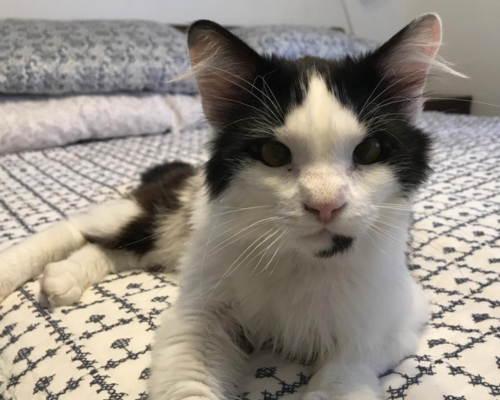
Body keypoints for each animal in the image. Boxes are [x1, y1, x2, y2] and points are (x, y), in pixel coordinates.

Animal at [0, 12, 458, 400]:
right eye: (273, 154)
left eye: (369, 151)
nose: (325, 206)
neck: (301, 261)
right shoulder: (197, 314)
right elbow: (189, 374)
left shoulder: (395, 312)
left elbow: (349, 366)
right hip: (161, 213)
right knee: (76, 228)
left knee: (114, 248)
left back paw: (62, 279)